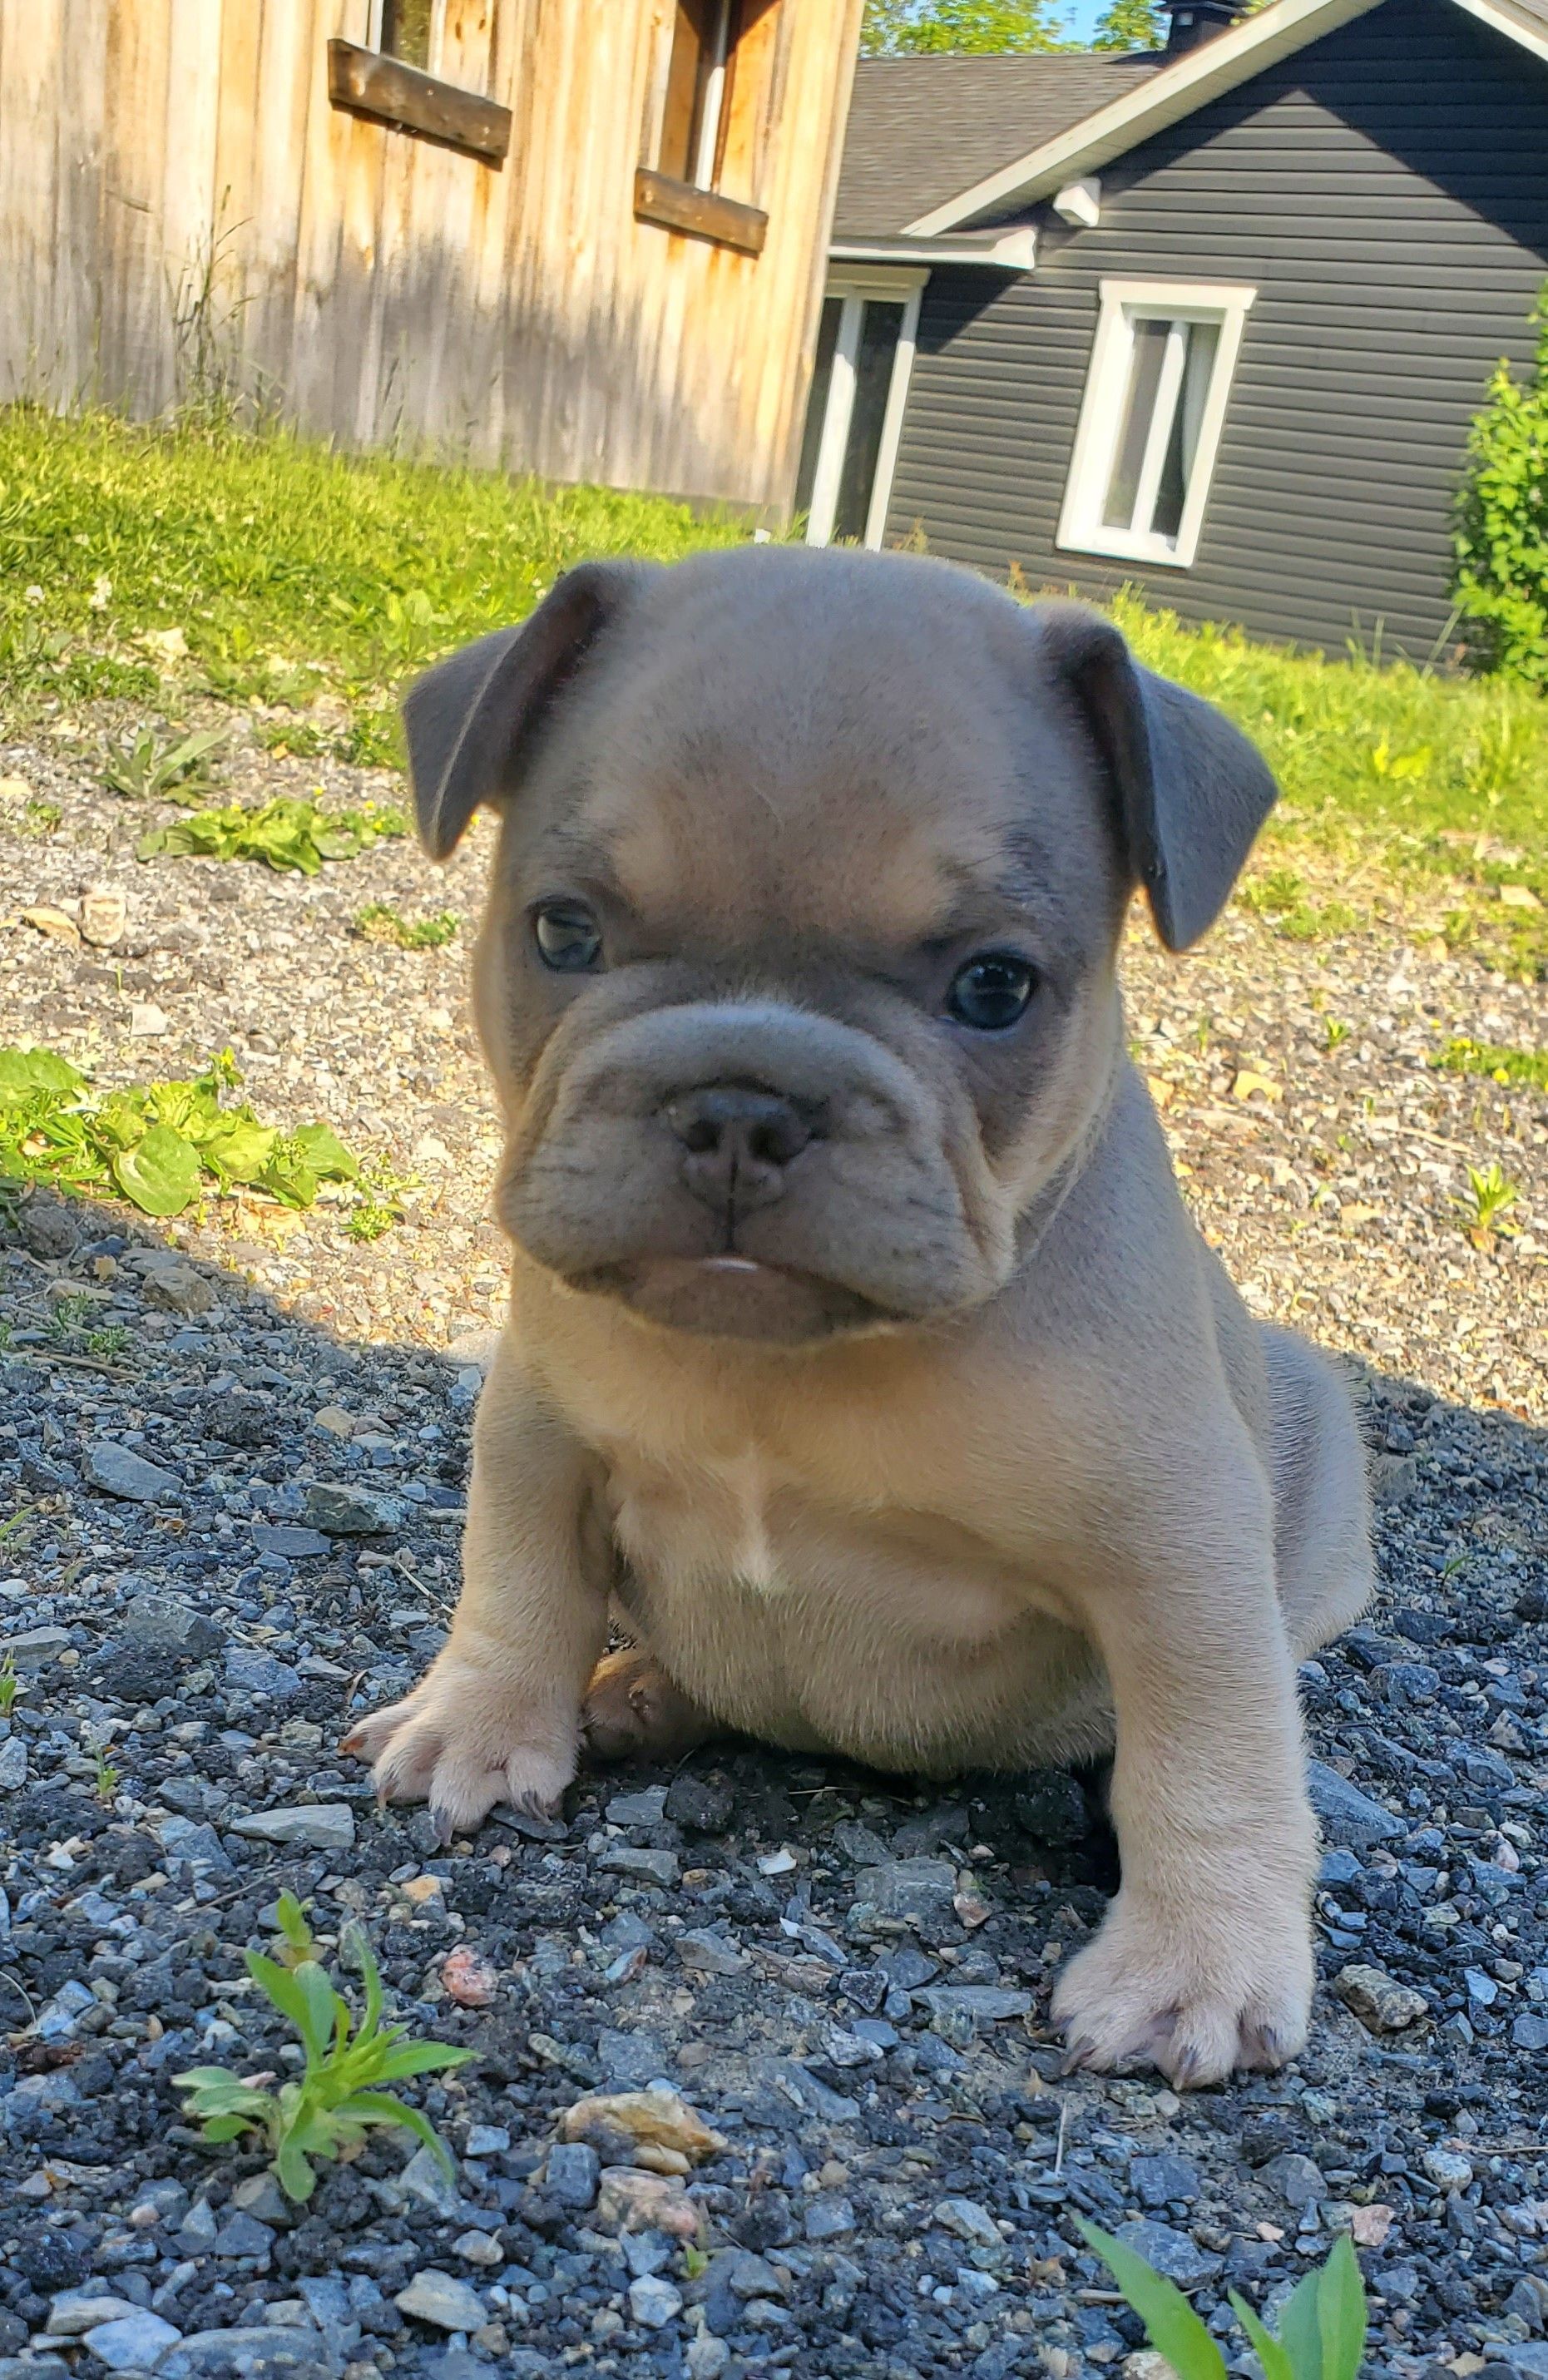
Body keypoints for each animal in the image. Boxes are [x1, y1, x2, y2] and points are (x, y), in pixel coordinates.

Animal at [343, 545, 1372, 2085]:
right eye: (563, 930)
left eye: (994, 987)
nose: (740, 1104)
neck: (781, 1369)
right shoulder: (537, 1425)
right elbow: (517, 1580)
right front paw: (478, 1723)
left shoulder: (1177, 1545)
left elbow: (1210, 1750)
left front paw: (1194, 1964)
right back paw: (638, 1689)